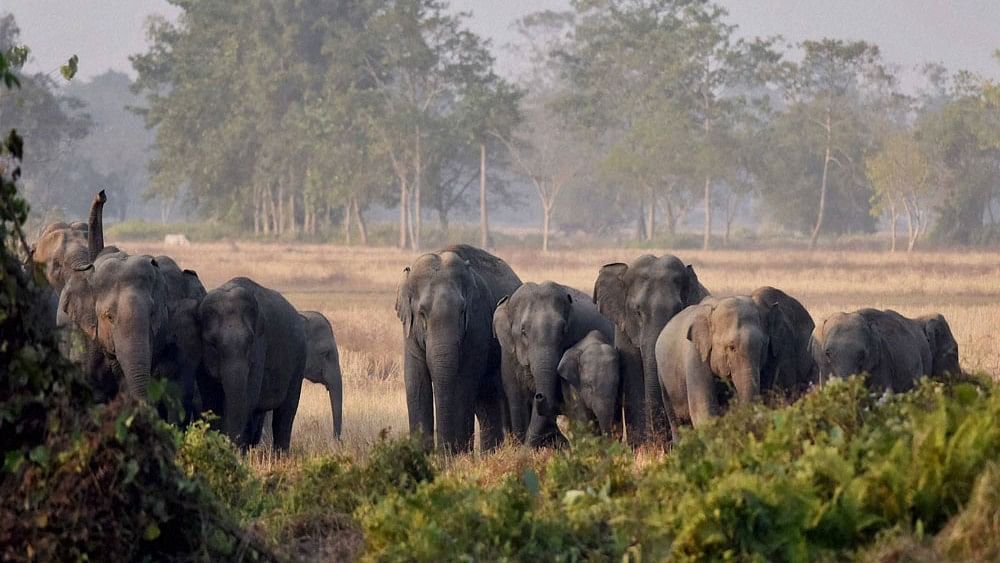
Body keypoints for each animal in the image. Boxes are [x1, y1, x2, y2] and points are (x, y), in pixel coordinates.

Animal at [196, 276, 302, 452]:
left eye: (250, 342)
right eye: (212, 344)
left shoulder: (260, 349)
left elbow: (248, 398)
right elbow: (210, 401)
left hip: (299, 357)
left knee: (286, 413)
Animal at [394, 243, 520, 454]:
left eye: (462, 312)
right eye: (422, 313)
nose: (441, 451)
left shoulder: (478, 325)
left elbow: (463, 383)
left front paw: (455, 457)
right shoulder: (409, 332)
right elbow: (416, 382)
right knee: (486, 403)